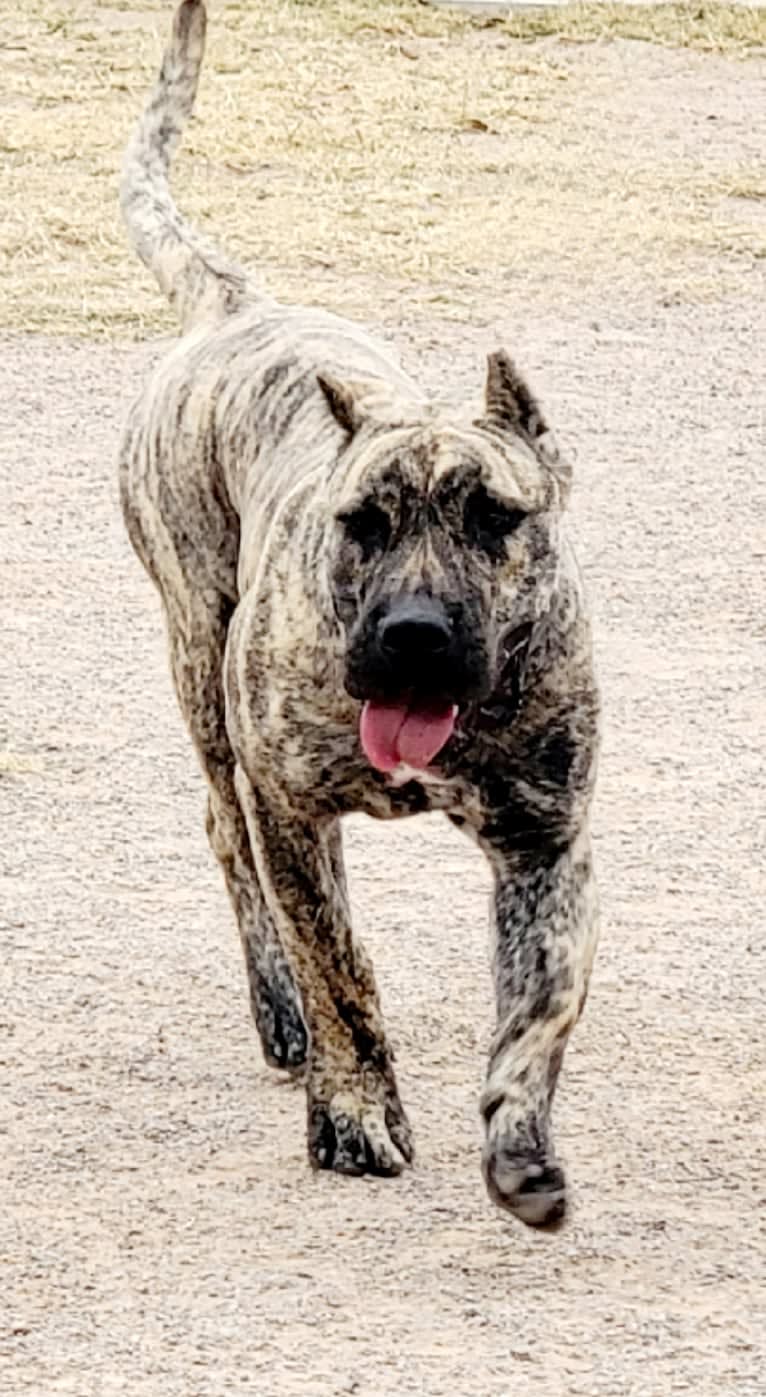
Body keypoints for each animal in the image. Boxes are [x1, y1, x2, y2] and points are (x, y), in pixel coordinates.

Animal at [118, 0, 598, 1229]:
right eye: (362, 523)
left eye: (494, 516)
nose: (414, 633)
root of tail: (238, 306)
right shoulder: (291, 804)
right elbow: (341, 966)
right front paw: (353, 1114)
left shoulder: (547, 837)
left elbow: (543, 1004)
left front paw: (520, 1145)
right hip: (202, 671)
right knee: (230, 842)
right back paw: (279, 1010)